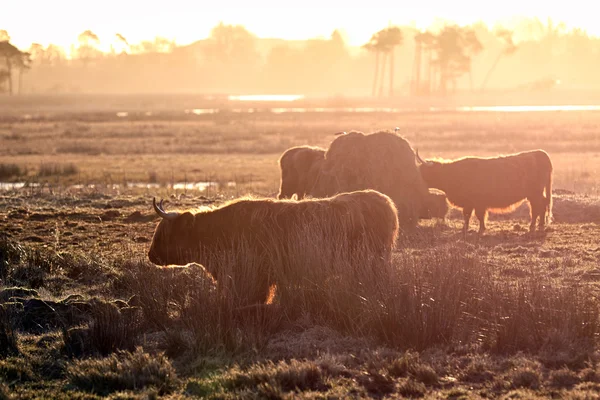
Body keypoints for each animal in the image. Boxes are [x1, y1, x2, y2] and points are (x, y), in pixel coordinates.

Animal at [418, 150, 552, 234]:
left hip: (535, 194)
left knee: (537, 208)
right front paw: (465, 228)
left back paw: (532, 227)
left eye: (423, 171)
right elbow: (467, 215)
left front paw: (480, 229)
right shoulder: (469, 203)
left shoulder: (478, 202)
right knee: (543, 206)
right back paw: (541, 225)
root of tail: (540, 153)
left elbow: (478, 215)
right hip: (536, 194)